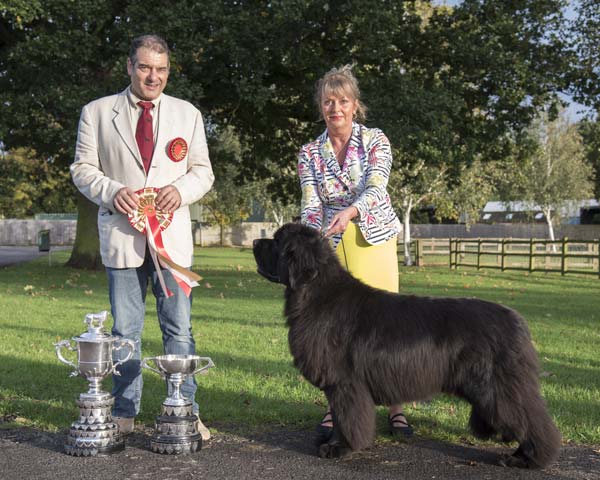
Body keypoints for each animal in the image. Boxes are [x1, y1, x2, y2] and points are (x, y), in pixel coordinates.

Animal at [253, 224, 564, 468]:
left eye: (278, 241)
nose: (256, 242)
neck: (316, 293)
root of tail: (517, 320)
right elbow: (342, 418)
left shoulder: (345, 383)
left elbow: (346, 419)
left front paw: (339, 448)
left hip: (498, 387)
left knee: (533, 421)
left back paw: (527, 459)